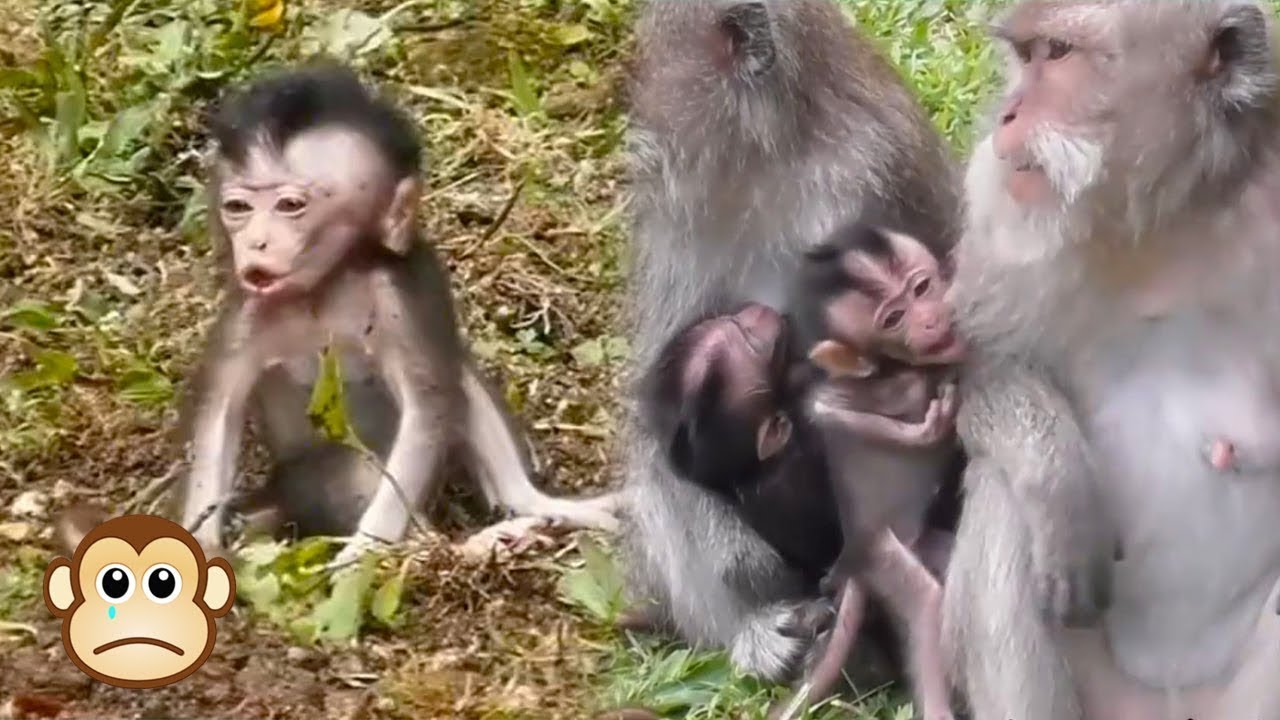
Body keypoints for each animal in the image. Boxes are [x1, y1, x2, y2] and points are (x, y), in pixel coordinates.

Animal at [177, 64, 620, 565]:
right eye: (238, 208)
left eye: (291, 206)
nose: (255, 243)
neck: (325, 288)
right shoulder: (247, 315)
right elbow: (217, 413)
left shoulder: (397, 301)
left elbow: (426, 409)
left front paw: (363, 552)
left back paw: (503, 524)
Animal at [620, 0, 962, 680]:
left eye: (645, 73)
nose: (634, 141)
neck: (778, 155)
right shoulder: (683, 222)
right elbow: (660, 409)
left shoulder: (872, 176)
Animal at [941, 3, 1280, 720]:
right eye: (1026, 56)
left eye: (1058, 54)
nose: (1007, 114)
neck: (1166, 226)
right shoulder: (999, 216)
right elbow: (983, 367)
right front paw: (1059, 484)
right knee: (1002, 498)